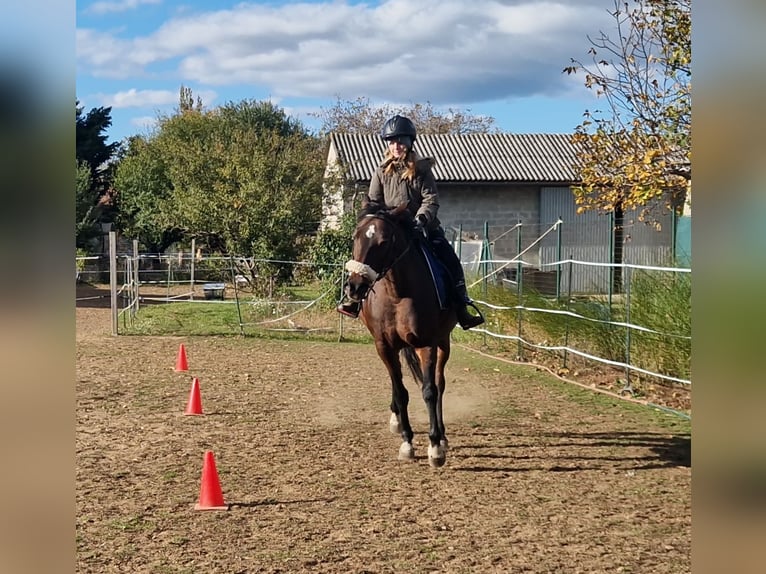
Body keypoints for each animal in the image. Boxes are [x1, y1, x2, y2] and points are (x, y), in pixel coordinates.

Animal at [343, 203, 458, 468]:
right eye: (356, 237)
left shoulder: (427, 343)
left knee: (440, 384)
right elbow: (401, 391)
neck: (397, 294)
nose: (355, 287)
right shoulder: (384, 346)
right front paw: (407, 441)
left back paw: (442, 436)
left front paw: (435, 447)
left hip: (443, 342)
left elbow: (429, 391)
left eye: (384, 241)